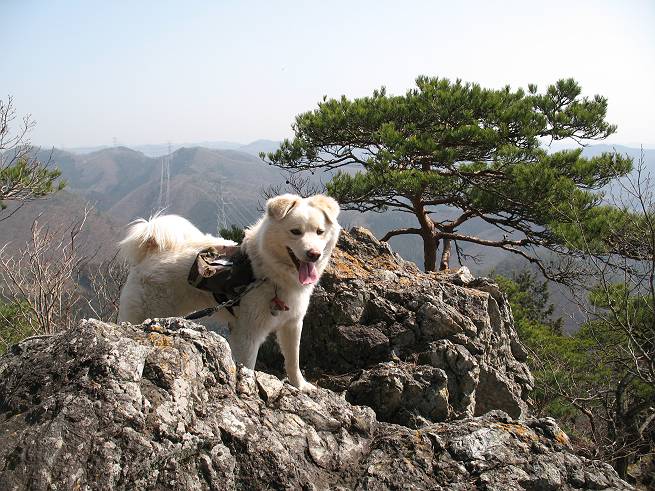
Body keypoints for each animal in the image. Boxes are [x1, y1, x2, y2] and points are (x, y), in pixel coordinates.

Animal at [118, 194, 340, 391]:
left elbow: (293, 359)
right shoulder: (248, 334)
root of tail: (151, 251)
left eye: (319, 231)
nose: (314, 254)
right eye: (295, 231)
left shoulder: (292, 324)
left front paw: (300, 386)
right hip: (141, 313)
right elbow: (248, 366)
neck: (267, 272)